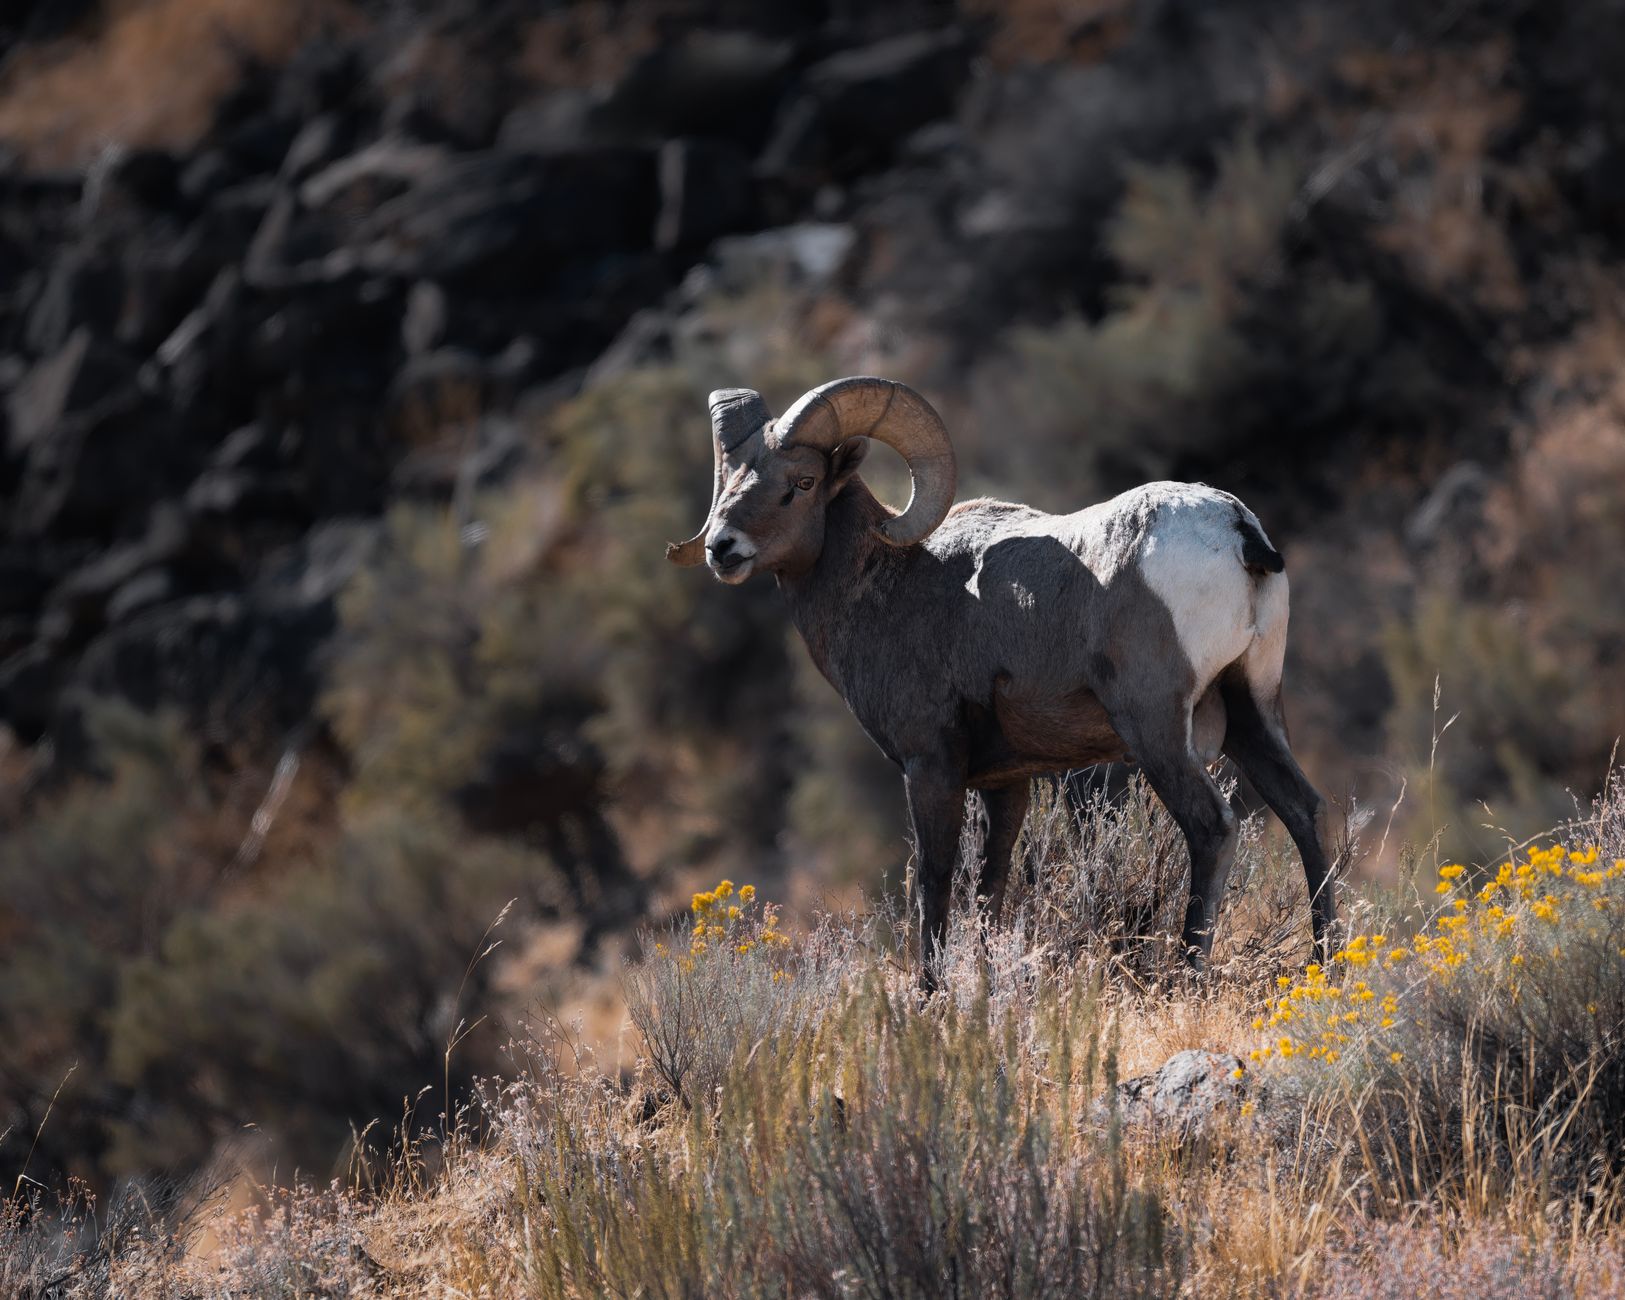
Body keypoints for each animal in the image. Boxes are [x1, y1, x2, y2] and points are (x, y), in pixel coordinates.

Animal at [668, 376, 1337, 985]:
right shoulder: (1005, 782)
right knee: (1304, 811)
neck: (888, 582)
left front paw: (930, 996)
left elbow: (935, 881)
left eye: (801, 484)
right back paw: (1324, 964)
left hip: (1157, 733)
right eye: (732, 479)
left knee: (1212, 828)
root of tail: (1237, 531)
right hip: (1254, 711)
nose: (723, 549)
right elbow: (990, 886)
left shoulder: (931, 765)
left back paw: (1187, 974)